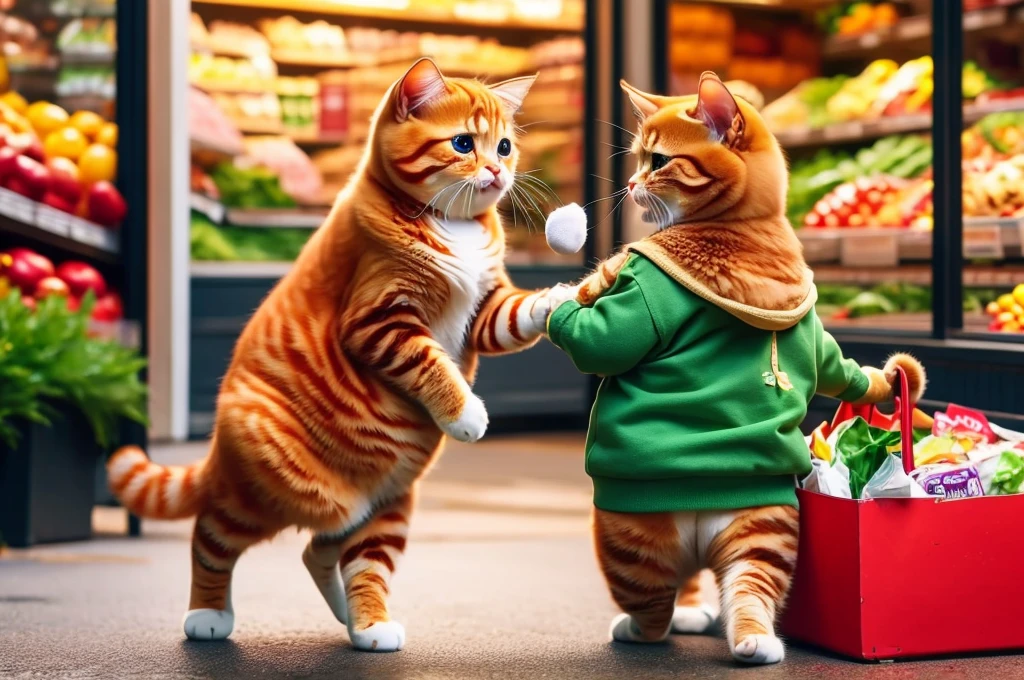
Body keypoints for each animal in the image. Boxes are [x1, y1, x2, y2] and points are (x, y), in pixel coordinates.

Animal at [111, 61, 581, 651]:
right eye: (462, 143)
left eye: (503, 145)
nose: (498, 172)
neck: (455, 226)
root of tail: (218, 448)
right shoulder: (379, 321)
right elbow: (431, 363)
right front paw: (465, 412)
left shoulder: (485, 309)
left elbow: (517, 314)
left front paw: (558, 297)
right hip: (262, 499)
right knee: (212, 533)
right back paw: (207, 614)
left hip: (386, 507)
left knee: (338, 557)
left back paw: (365, 624)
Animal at [544, 73, 929, 663]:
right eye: (637, 159)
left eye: (657, 160)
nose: (629, 185)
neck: (748, 228)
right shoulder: (813, 331)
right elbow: (834, 363)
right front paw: (880, 384)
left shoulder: (642, 291)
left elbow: (604, 334)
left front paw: (563, 299)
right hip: (767, 524)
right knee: (749, 589)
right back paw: (754, 641)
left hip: (624, 535)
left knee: (653, 604)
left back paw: (639, 629)